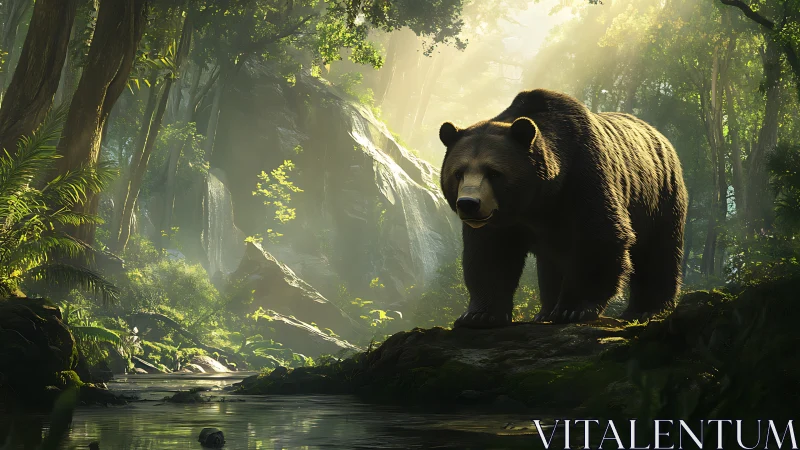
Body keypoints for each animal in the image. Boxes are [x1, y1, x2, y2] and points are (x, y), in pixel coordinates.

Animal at [438, 89, 688, 328]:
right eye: (458, 173)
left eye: (493, 173)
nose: (468, 204)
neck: (537, 200)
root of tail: (660, 136)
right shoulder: (503, 218)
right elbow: (491, 253)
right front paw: (478, 315)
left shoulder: (583, 177)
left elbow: (599, 235)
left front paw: (573, 310)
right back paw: (545, 312)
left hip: (659, 196)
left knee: (658, 251)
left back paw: (645, 309)